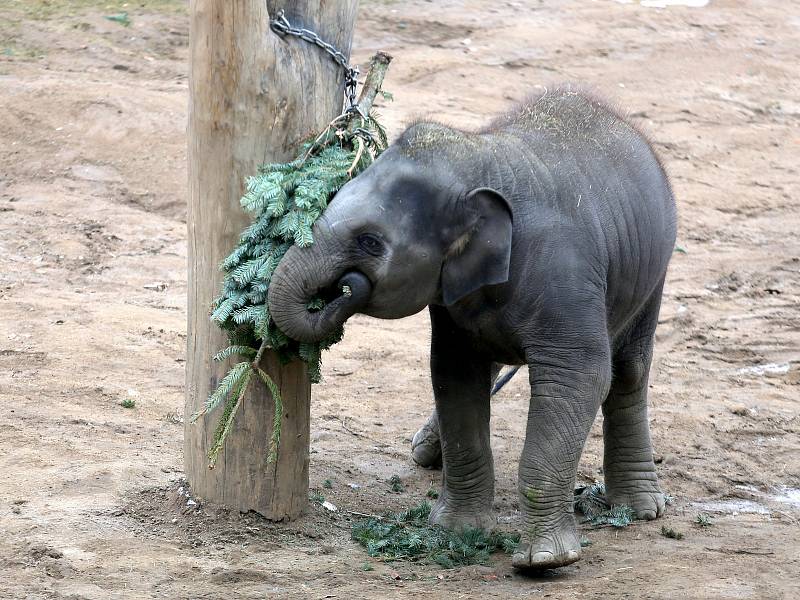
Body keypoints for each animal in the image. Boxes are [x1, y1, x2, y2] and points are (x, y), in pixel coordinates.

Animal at [268, 88, 676, 568]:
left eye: (369, 241)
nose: (345, 288)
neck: (479, 160)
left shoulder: (568, 275)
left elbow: (581, 376)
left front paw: (545, 561)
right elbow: (453, 375)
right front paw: (456, 533)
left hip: (653, 270)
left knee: (628, 370)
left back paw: (639, 509)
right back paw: (426, 452)